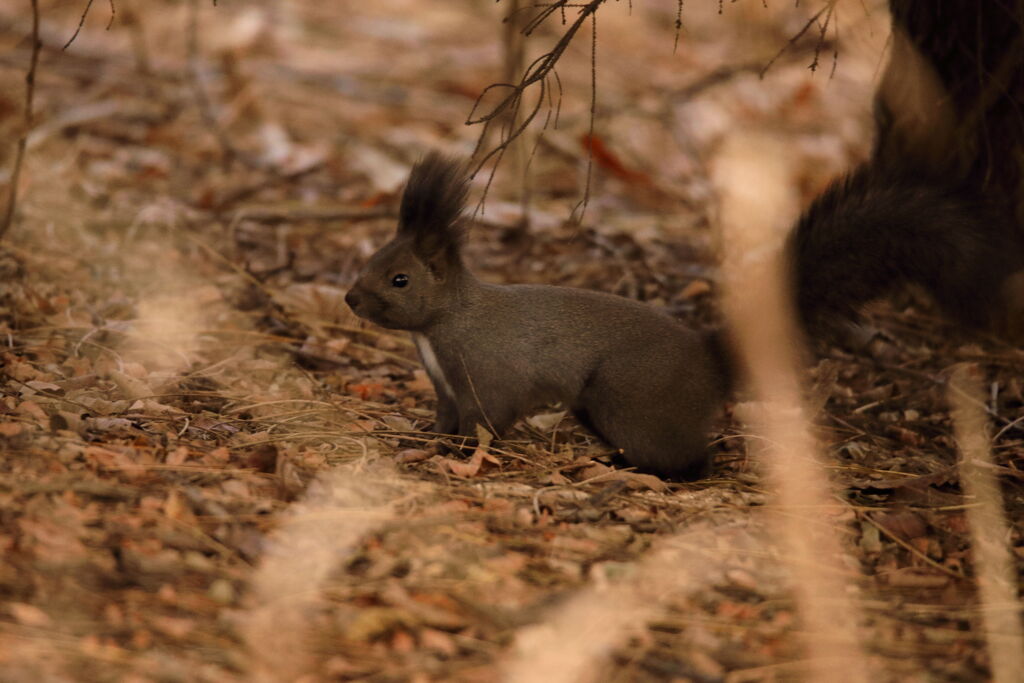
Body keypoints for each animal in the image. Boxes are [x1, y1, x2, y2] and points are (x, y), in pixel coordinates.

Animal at [346, 150, 1024, 481]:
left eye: (399, 278)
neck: (441, 326)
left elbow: (486, 419)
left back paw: (672, 476)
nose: (351, 300)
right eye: (372, 259)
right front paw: (425, 439)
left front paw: (460, 453)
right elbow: (446, 416)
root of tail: (710, 362)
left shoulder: (487, 375)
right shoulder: (445, 385)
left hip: (630, 399)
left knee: (693, 453)